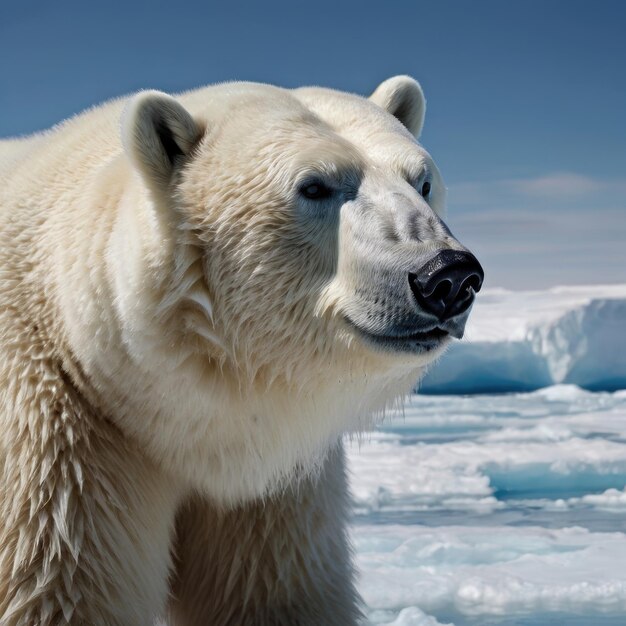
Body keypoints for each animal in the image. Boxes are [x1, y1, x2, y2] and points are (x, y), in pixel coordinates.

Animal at [0, 79, 482, 624]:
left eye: (422, 181)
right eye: (313, 186)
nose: (447, 275)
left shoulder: (271, 488)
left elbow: (269, 590)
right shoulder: (58, 450)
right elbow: (58, 592)